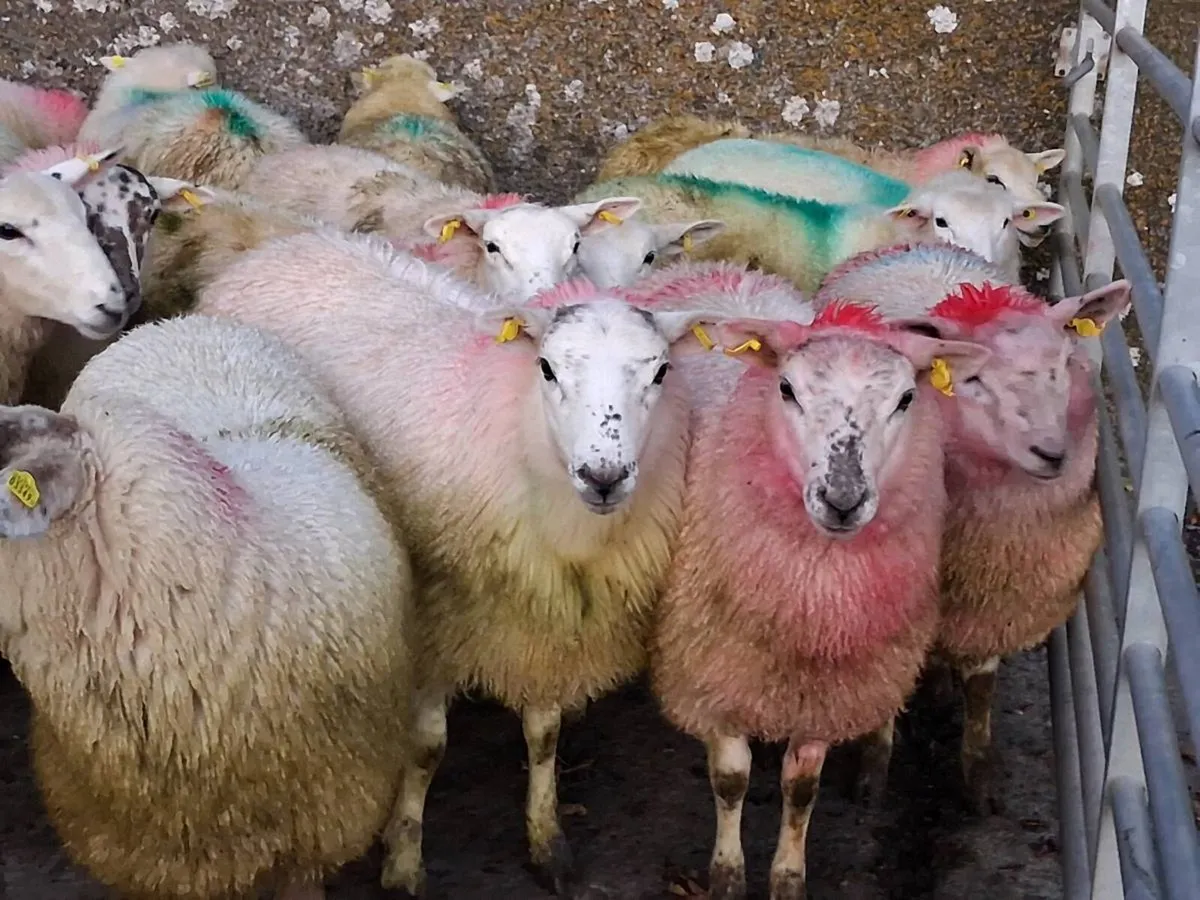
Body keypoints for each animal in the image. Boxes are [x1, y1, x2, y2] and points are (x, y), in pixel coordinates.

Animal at [192, 227, 724, 895]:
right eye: (547, 368)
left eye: (661, 372)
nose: (602, 476)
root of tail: (287, 243)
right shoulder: (430, 616)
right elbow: (426, 748)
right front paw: (402, 860)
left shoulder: (540, 614)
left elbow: (544, 734)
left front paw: (547, 840)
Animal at [648, 301, 992, 900]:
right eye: (786, 389)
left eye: (906, 399)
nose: (843, 499)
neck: (811, 603)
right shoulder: (714, 675)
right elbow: (731, 780)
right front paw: (727, 876)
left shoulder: (827, 695)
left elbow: (802, 789)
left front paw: (787, 877)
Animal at [814, 272, 1132, 814]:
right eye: (975, 382)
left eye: (1060, 367)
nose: (1052, 453)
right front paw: (872, 774)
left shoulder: (994, 596)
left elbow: (982, 686)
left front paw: (978, 778)